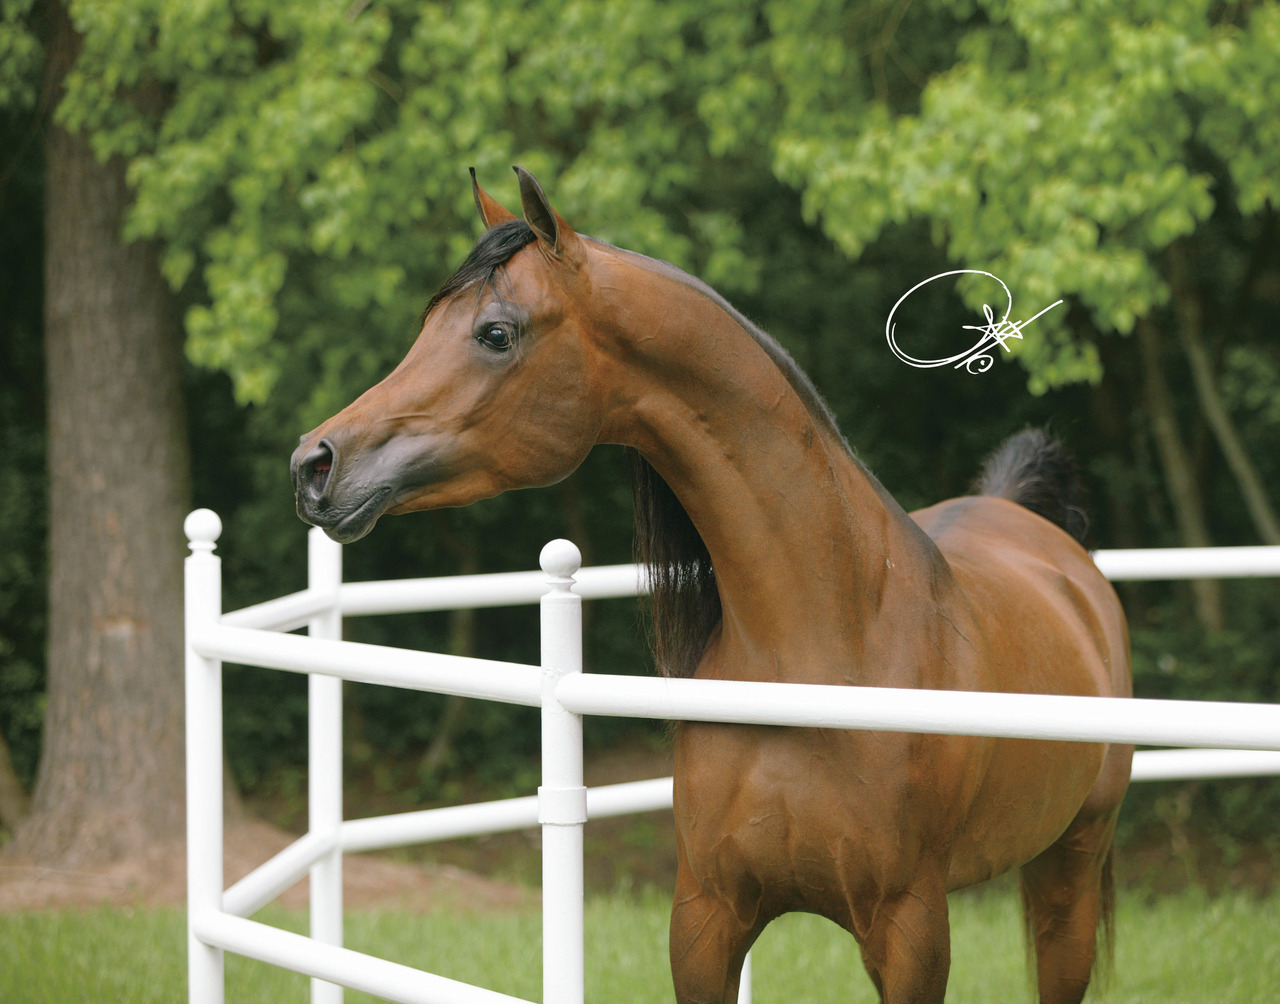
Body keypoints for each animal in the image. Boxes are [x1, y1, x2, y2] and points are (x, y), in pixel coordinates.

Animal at [291, 167, 1132, 1004]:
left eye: (496, 333)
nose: (314, 463)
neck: (821, 655)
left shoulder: (910, 932)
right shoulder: (705, 920)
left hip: (1070, 870)